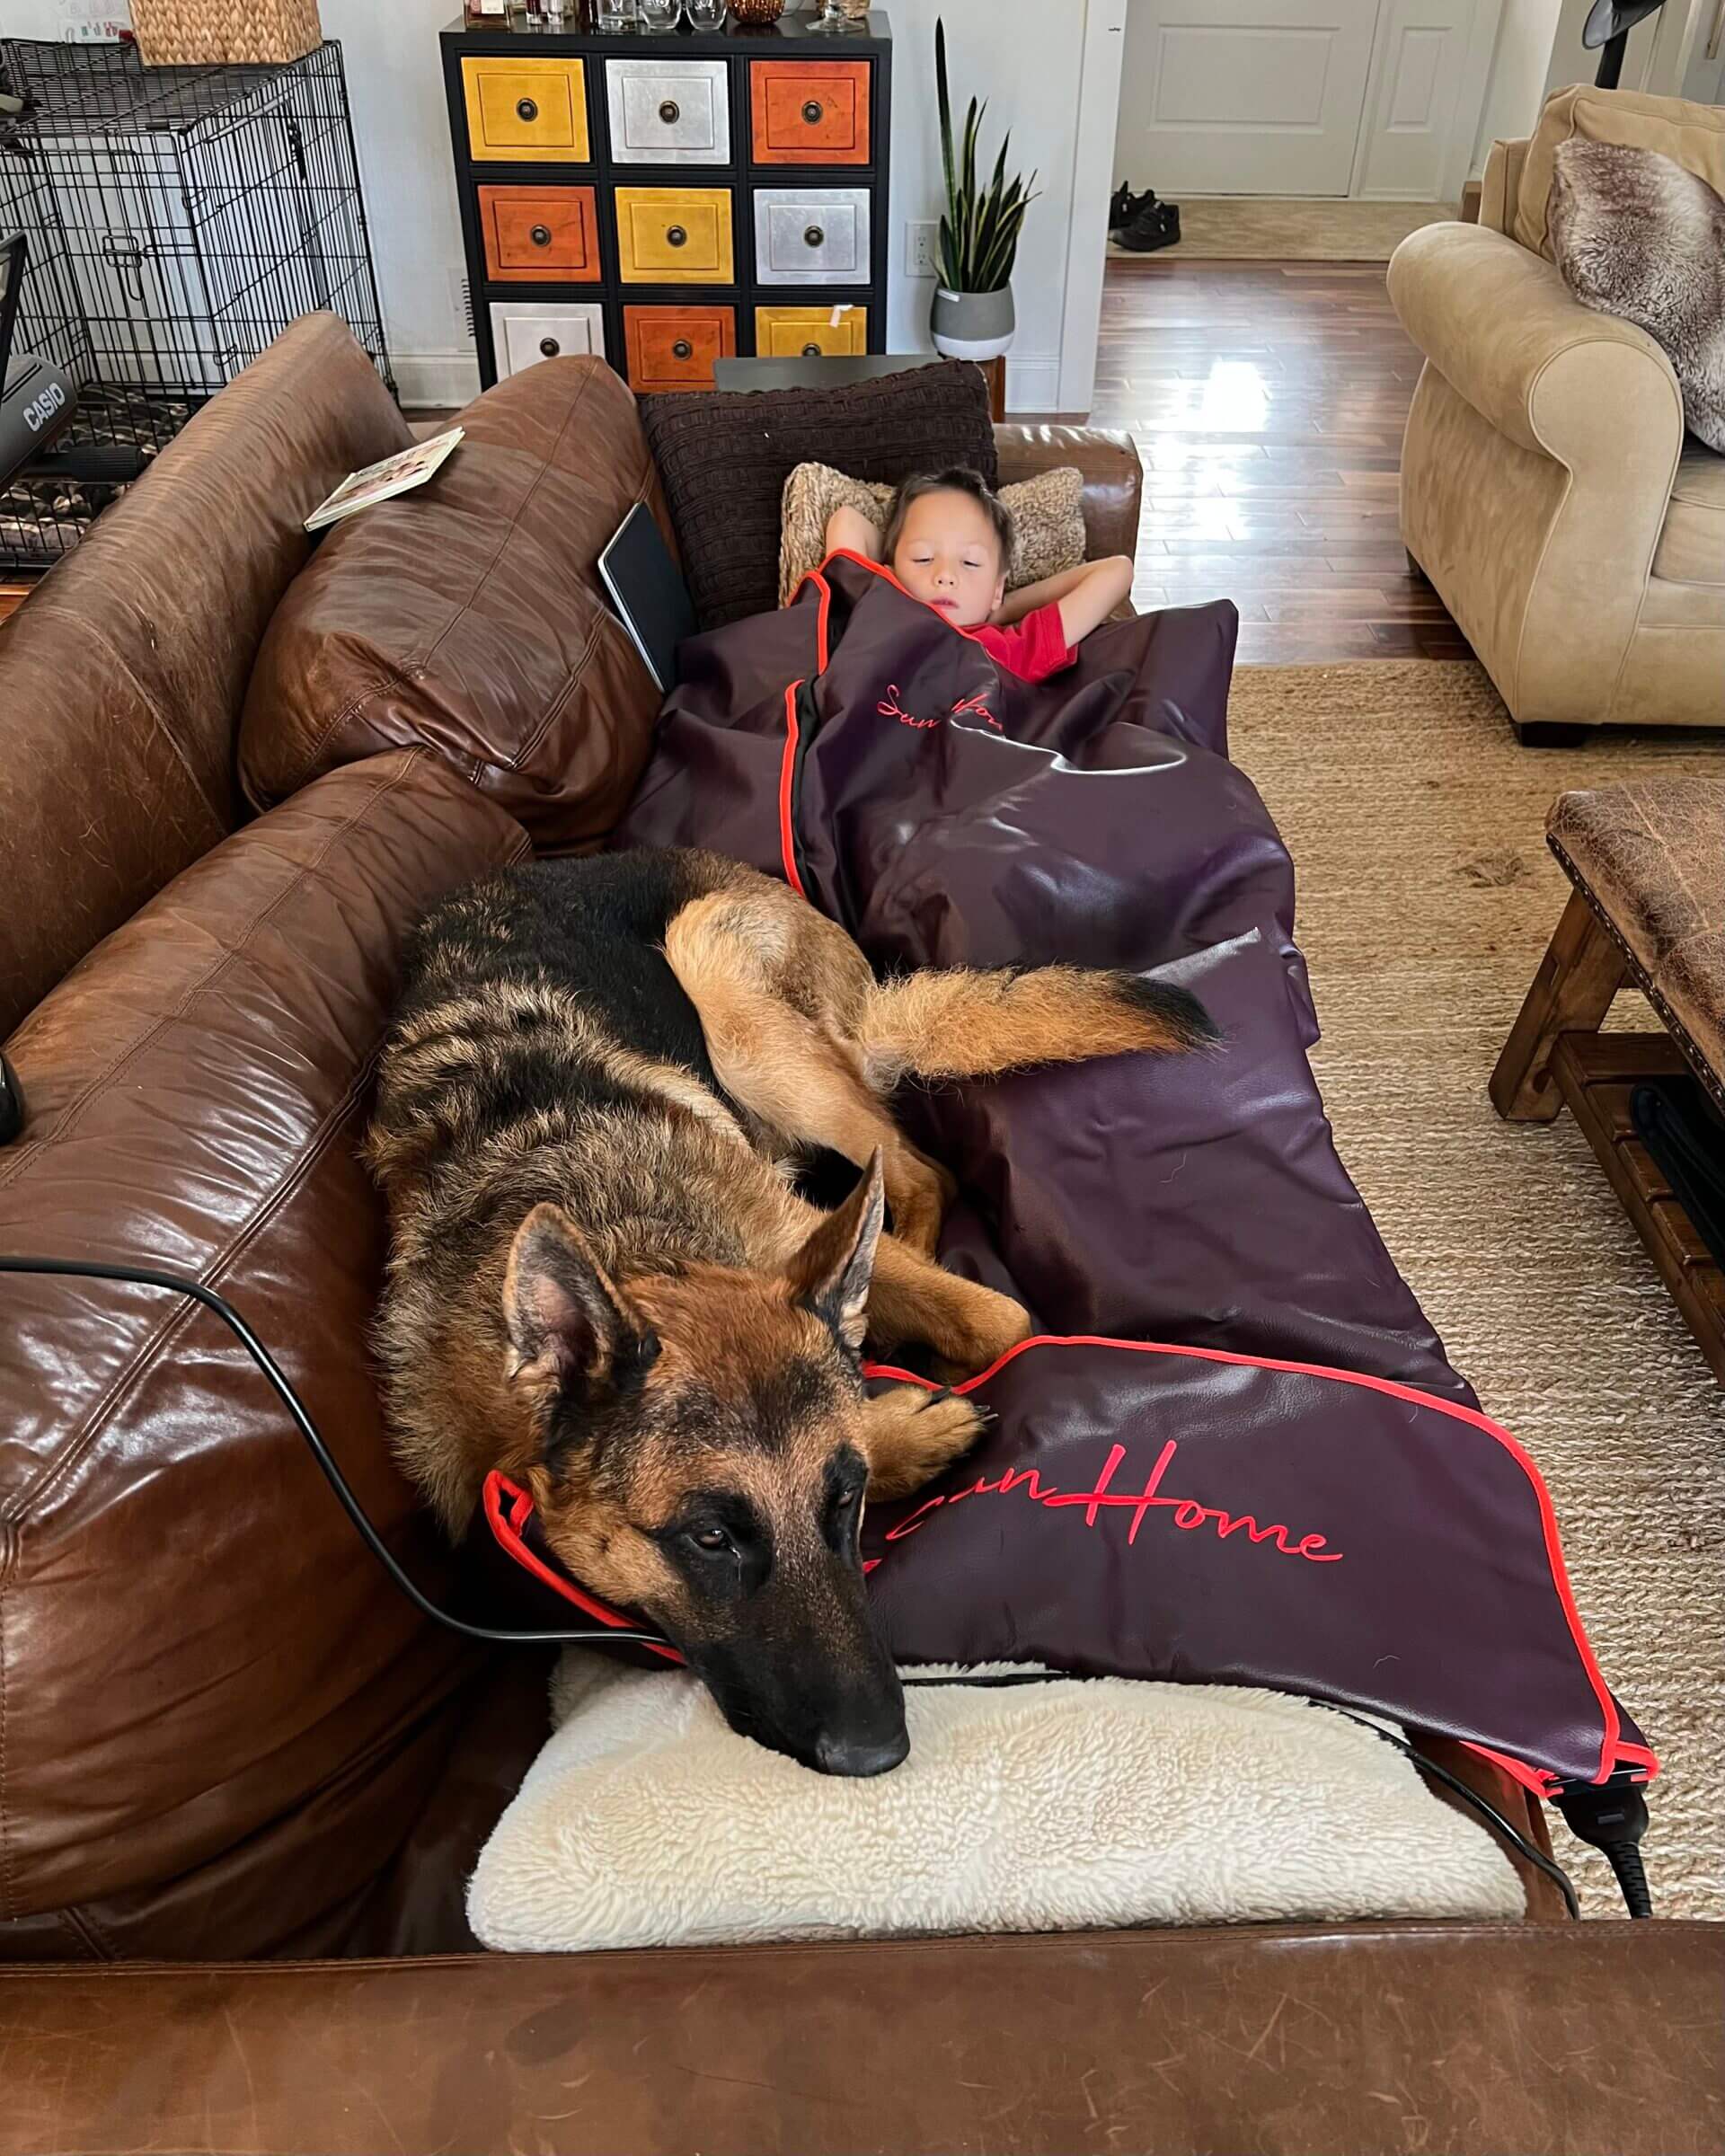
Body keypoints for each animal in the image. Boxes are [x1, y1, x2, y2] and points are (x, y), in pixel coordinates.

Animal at [370, 849, 1216, 1776]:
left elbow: (1003, 1322)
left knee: (915, 1171)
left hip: (720, 979)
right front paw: (900, 1420)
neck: (630, 1240)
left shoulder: (794, 1236)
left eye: (844, 1504)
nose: (878, 1751)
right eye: (709, 1540)